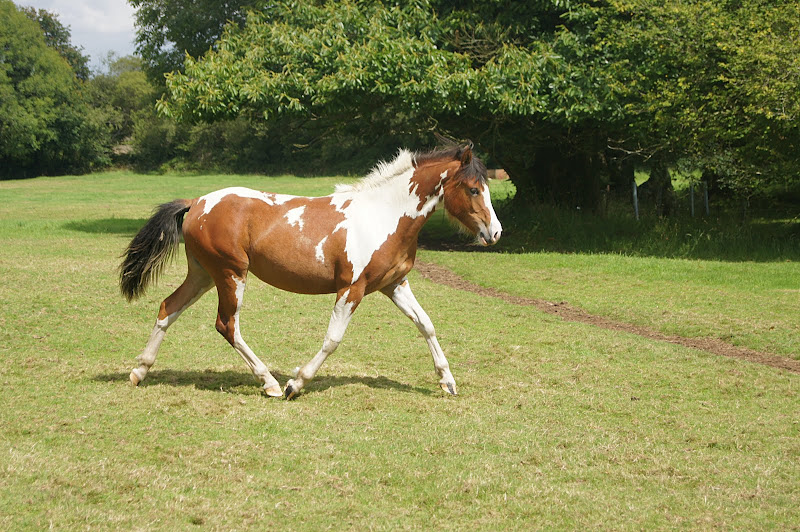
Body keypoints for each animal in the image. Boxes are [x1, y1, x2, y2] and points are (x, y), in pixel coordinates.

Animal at [119, 142, 500, 400]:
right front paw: (295, 383)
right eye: (473, 189)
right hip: (230, 274)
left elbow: (426, 325)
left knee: (168, 308)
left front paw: (447, 381)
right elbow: (333, 339)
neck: (384, 215)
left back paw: (139, 371)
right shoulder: (351, 289)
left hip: (202, 274)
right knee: (227, 325)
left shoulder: (394, 285)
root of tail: (196, 203)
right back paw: (270, 383)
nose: (495, 233)